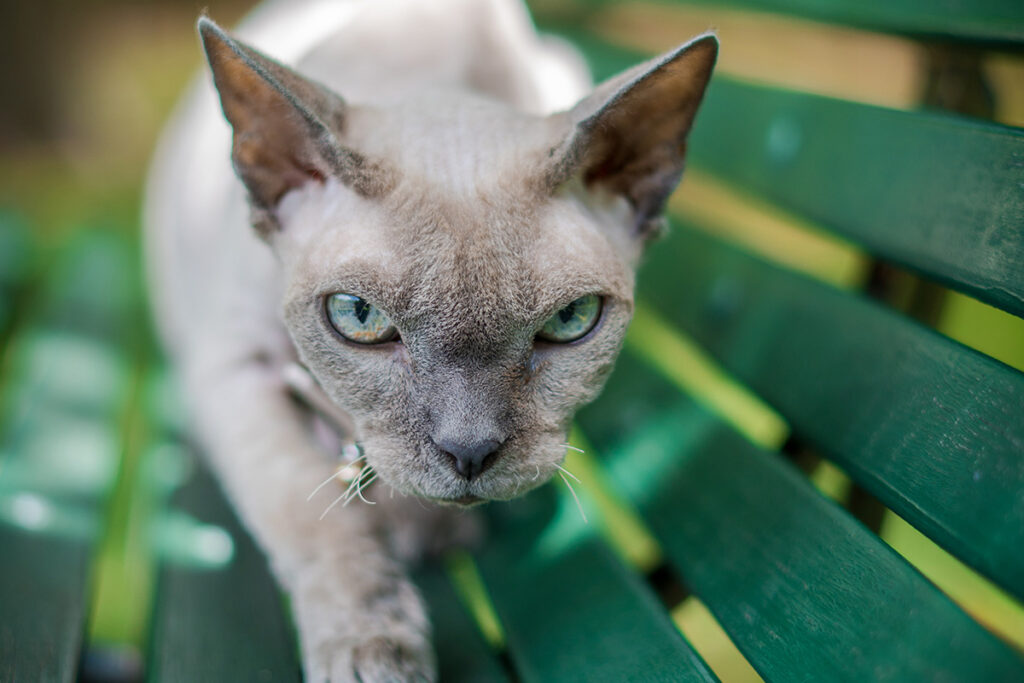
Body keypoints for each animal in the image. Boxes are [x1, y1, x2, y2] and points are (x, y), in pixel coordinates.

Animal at [144, 0, 716, 679]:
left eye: (570, 320)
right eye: (358, 317)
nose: (469, 453)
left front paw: (425, 530)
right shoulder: (235, 370)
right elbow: (316, 521)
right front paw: (373, 650)